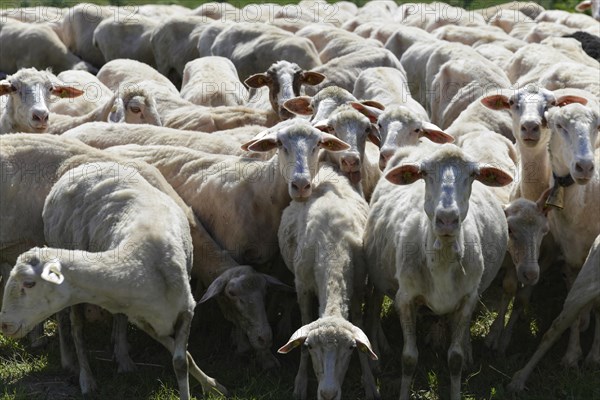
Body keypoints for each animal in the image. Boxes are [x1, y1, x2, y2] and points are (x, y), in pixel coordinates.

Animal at [0, 161, 227, 398]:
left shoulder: (185, 310)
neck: (138, 259)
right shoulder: (144, 321)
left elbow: (182, 361)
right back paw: (85, 377)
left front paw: (213, 386)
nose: (4, 325)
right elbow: (180, 356)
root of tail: (79, 168)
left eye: (29, 283)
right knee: (76, 329)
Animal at [276, 163, 376, 400]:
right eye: (310, 346)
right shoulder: (302, 287)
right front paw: (300, 382)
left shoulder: (357, 286)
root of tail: (327, 168)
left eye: (350, 348)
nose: (328, 394)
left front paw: (369, 380)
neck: (333, 249)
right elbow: (304, 322)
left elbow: (359, 323)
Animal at [366, 142, 516, 398]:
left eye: (473, 175)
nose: (447, 219)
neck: (443, 261)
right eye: (424, 173)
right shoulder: (405, 298)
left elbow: (454, 359)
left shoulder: (467, 299)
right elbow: (408, 359)